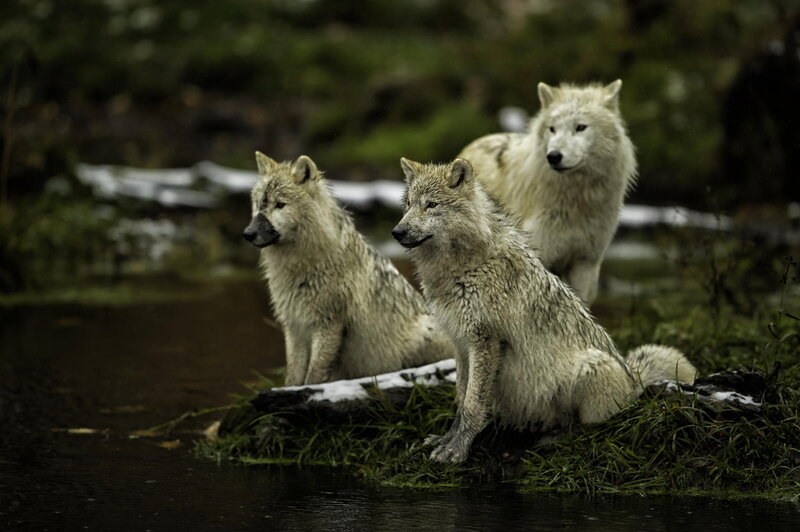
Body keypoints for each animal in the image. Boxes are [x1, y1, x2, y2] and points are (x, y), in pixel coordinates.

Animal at [243, 152, 456, 385]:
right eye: (259, 204)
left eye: (280, 205)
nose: (248, 234)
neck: (302, 267)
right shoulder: (295, 326)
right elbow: (293, 375)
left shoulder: (328, 323)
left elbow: (314, 375)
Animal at [392, 158, 695, 464]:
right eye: (408, 205)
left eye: (431, 205)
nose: (397, 232)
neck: (465, 265)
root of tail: (634, 379)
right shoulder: (461, 343)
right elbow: (460, 398)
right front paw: (445, 440)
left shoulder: (485, 342)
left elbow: (472, 405)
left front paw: (456, 451)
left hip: (590, 366)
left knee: (595, 427)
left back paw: (558, 438)